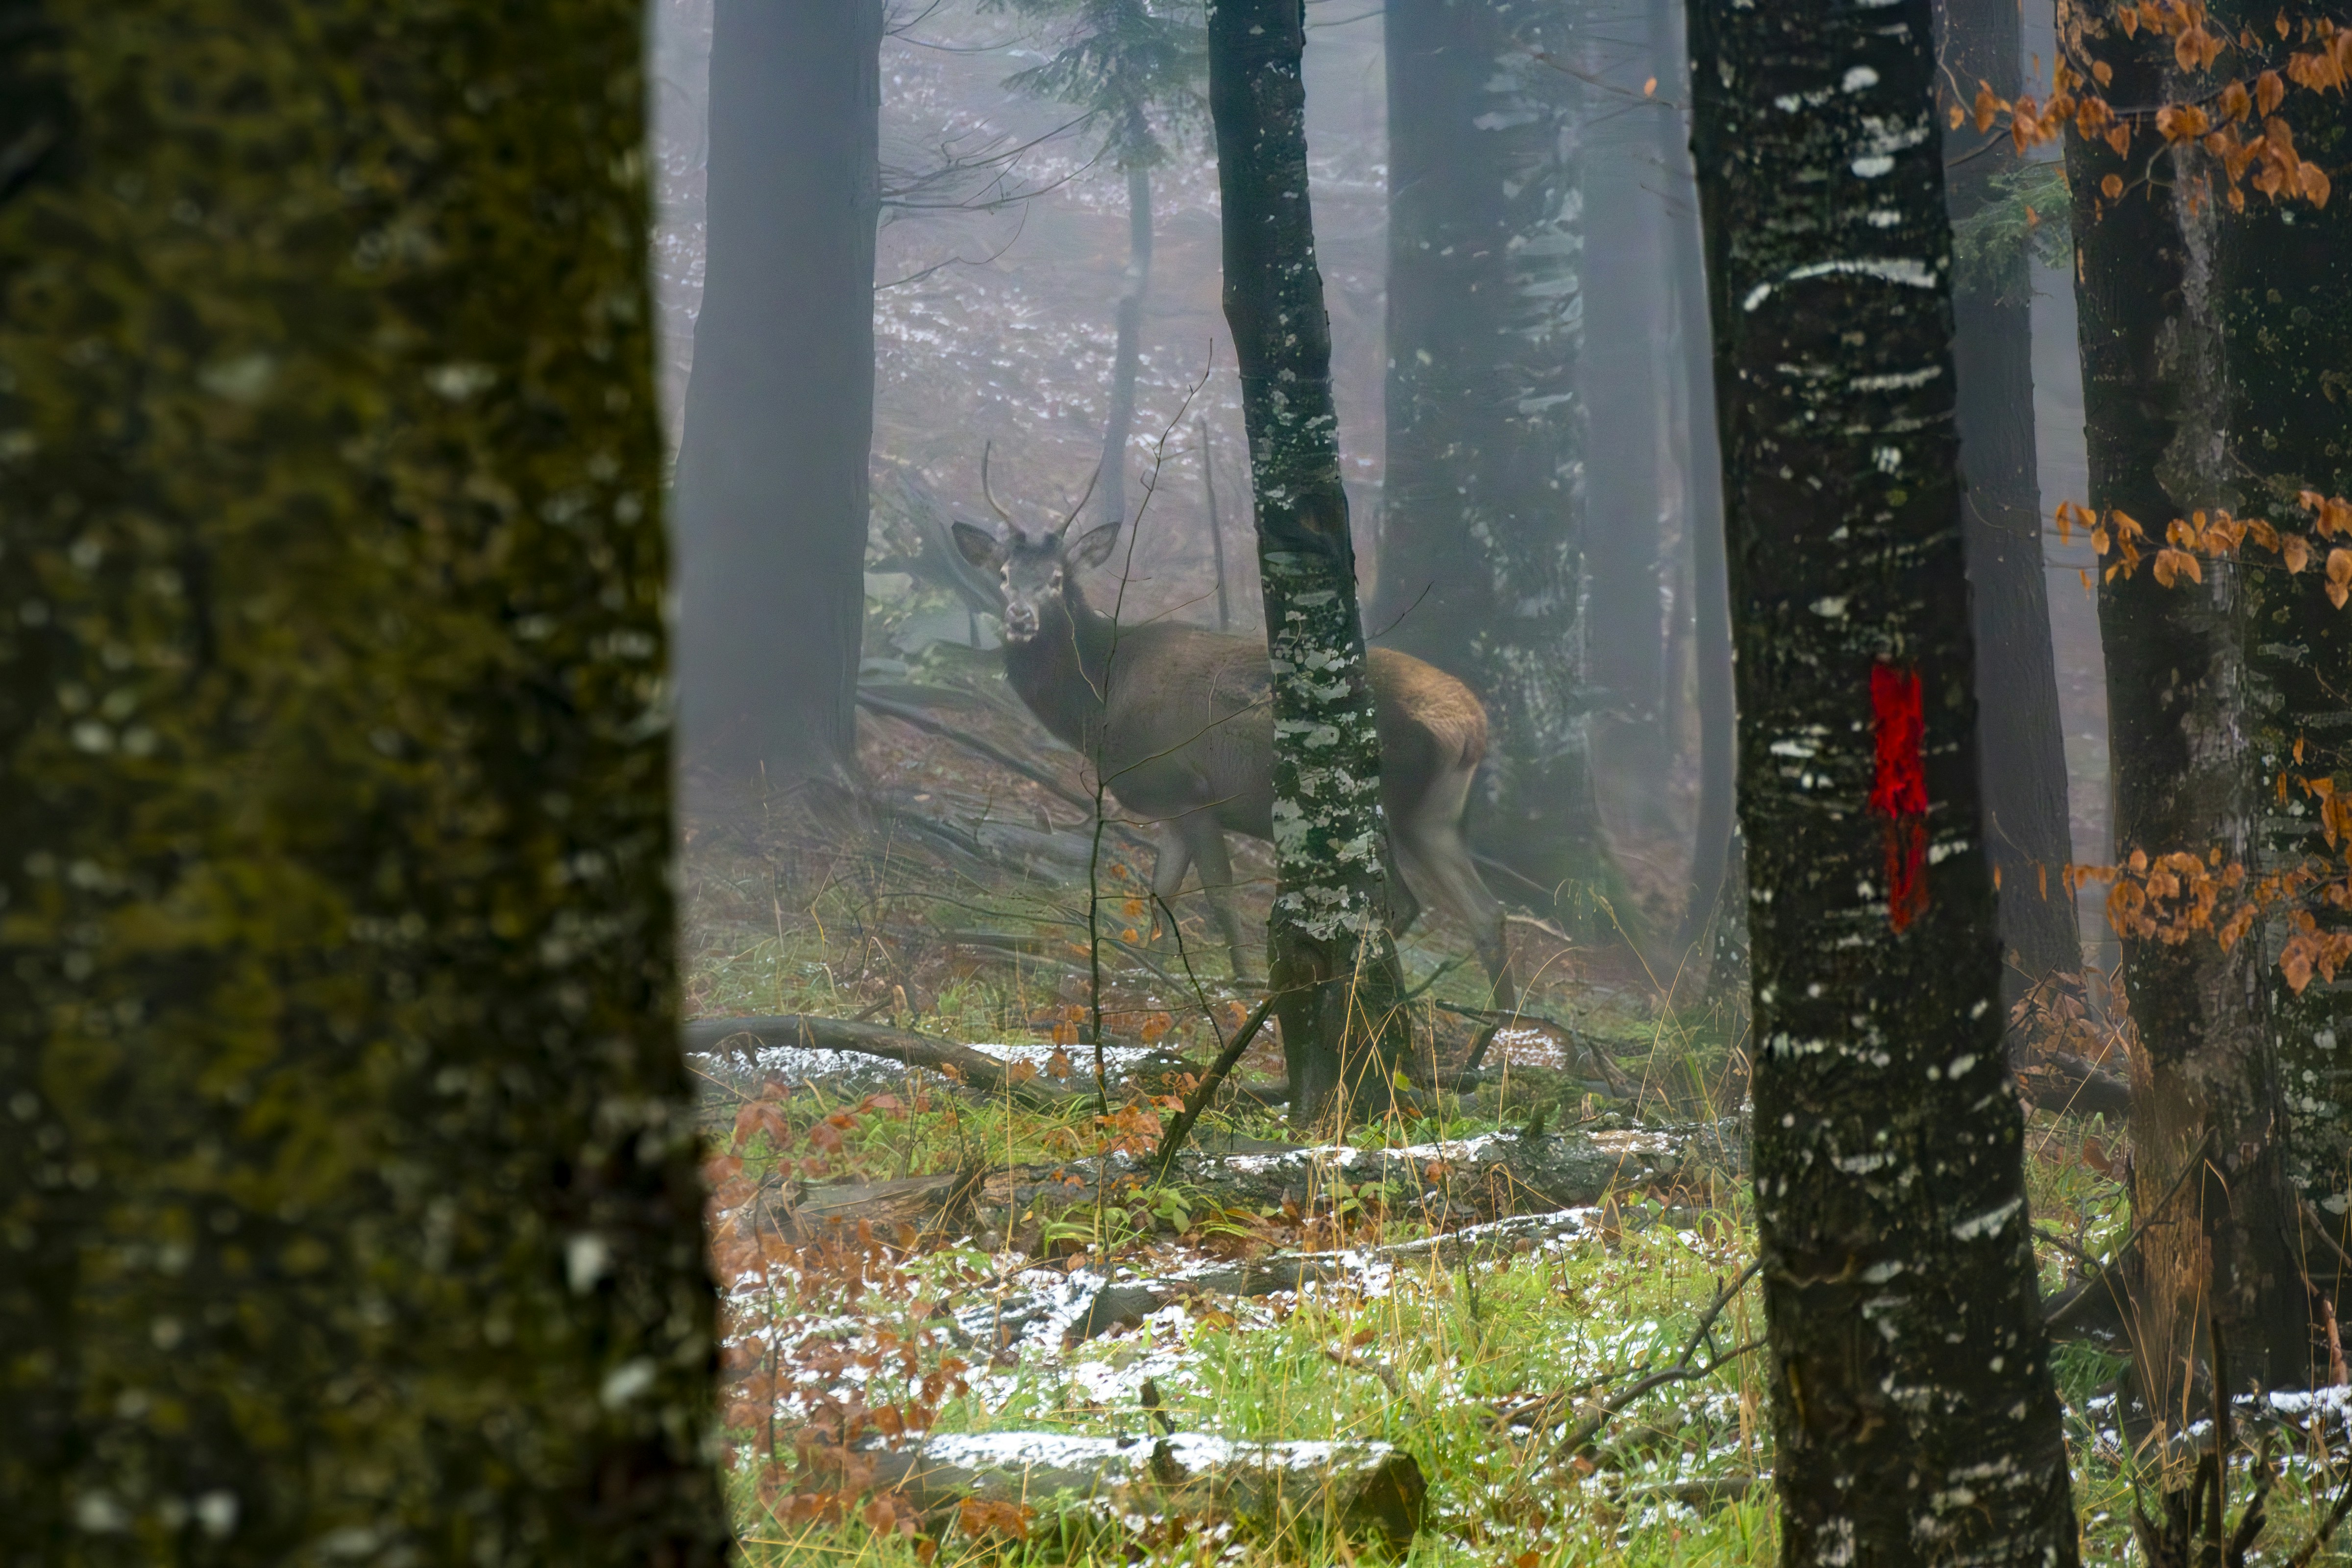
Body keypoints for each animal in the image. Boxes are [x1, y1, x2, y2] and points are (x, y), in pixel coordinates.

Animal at [951, 454, 1516, 1011]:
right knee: (1487, 913)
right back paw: (1499, 1021)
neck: (1099, 704)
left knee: (1403, 904)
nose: (1020, 617)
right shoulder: (1169, 804)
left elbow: (1219, 897)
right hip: (1433, 818)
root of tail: (1470, 726)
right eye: (1004, 574)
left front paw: (1236, 987)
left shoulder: (1191, 787)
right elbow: (1161, 894)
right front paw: (1151, 977)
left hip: (1376, 807)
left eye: (1056, 579)